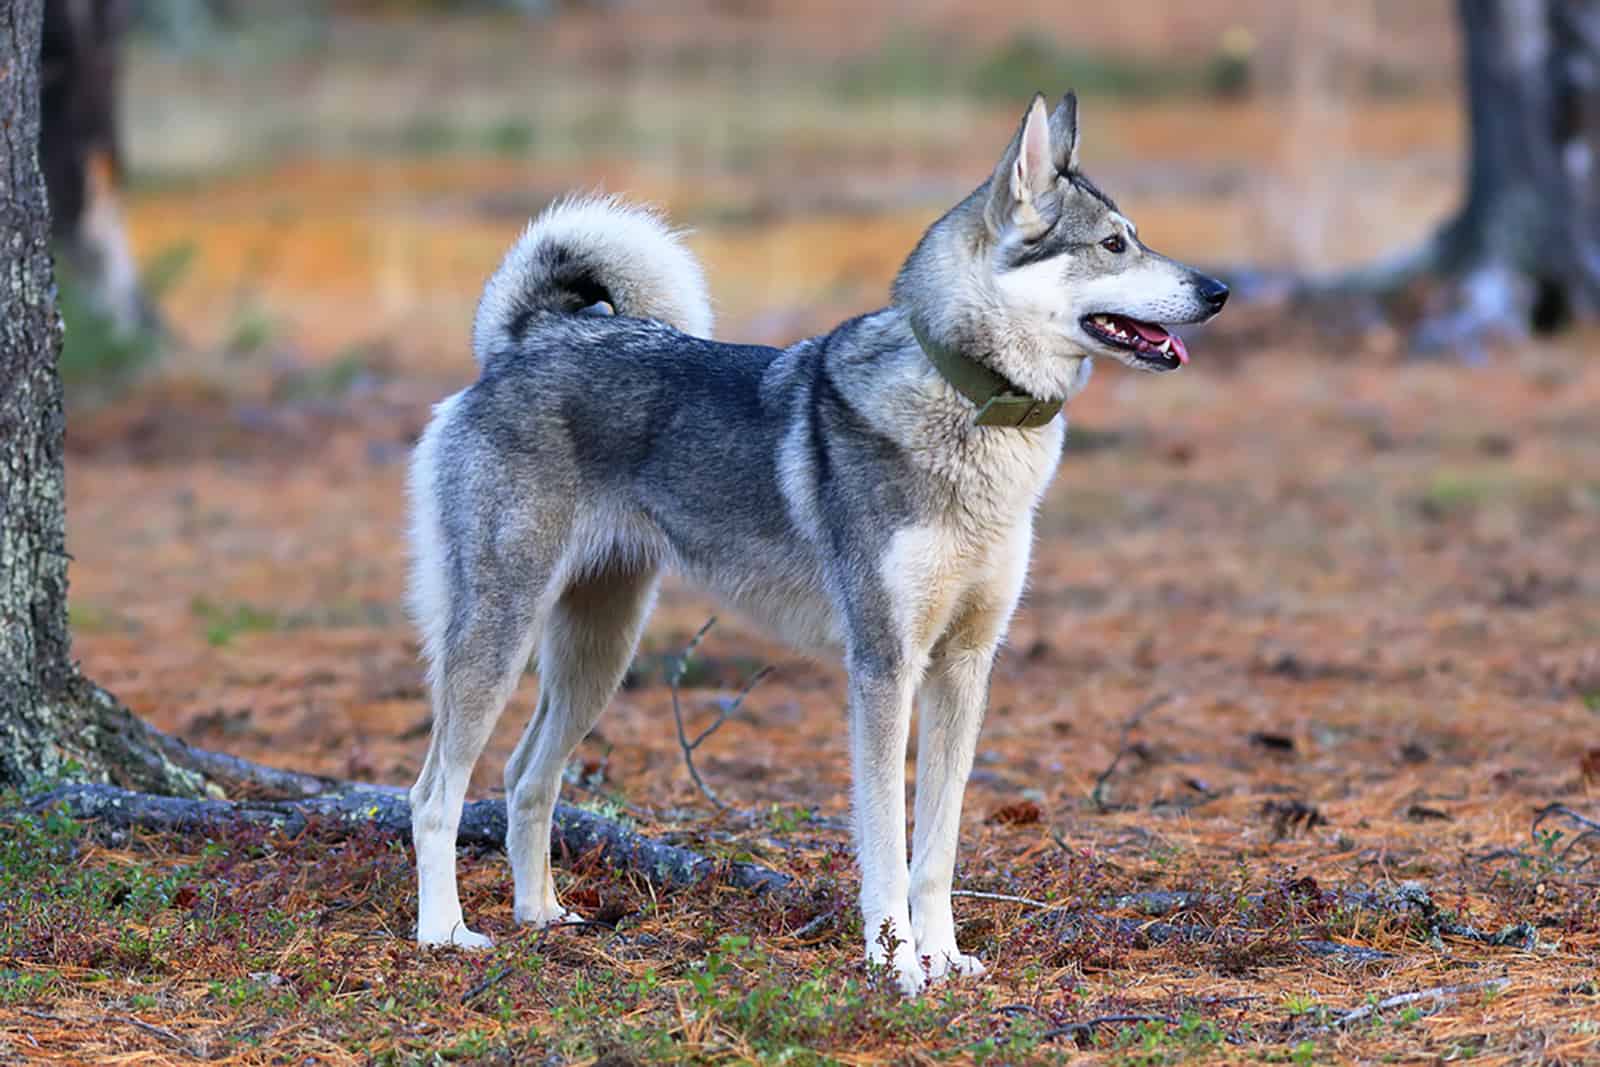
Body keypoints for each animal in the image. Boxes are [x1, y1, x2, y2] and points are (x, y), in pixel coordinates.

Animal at [403, 89, 1222, 991]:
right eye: (1113, 243)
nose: (1218, 290)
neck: (970, 405)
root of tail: (526, 340)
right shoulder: (884, 666)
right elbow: (888, 843)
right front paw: (896, 967)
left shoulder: (965, 665)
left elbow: (938, 845)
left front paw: (945, 956)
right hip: (500, 635)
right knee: (435, 792)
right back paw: (445, 931)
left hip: (598, 653)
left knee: (525, 778)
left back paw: (541, 915)